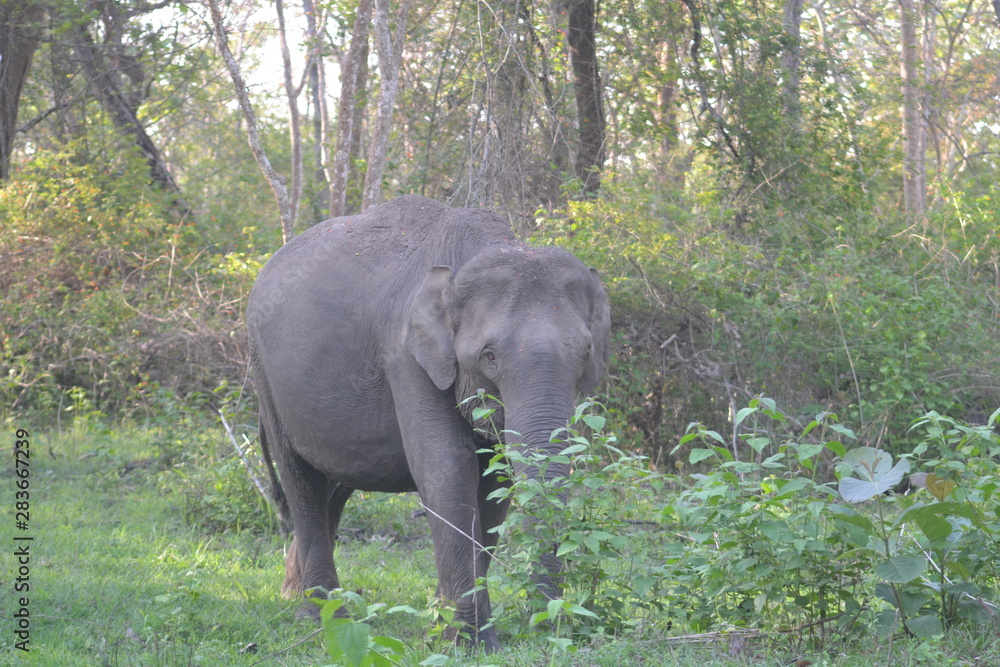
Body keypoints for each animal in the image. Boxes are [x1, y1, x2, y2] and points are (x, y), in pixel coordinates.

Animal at [246, 194, 611, 649]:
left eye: (585, 353)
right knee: (302, 482)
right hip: (266, 377)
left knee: (335, 485)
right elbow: (447, 470)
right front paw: (471, 643)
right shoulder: (405, 355)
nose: (546, 627)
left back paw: (295, 597)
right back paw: (323, 617)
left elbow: (495, 483)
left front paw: (443, 626)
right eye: (489, 356)